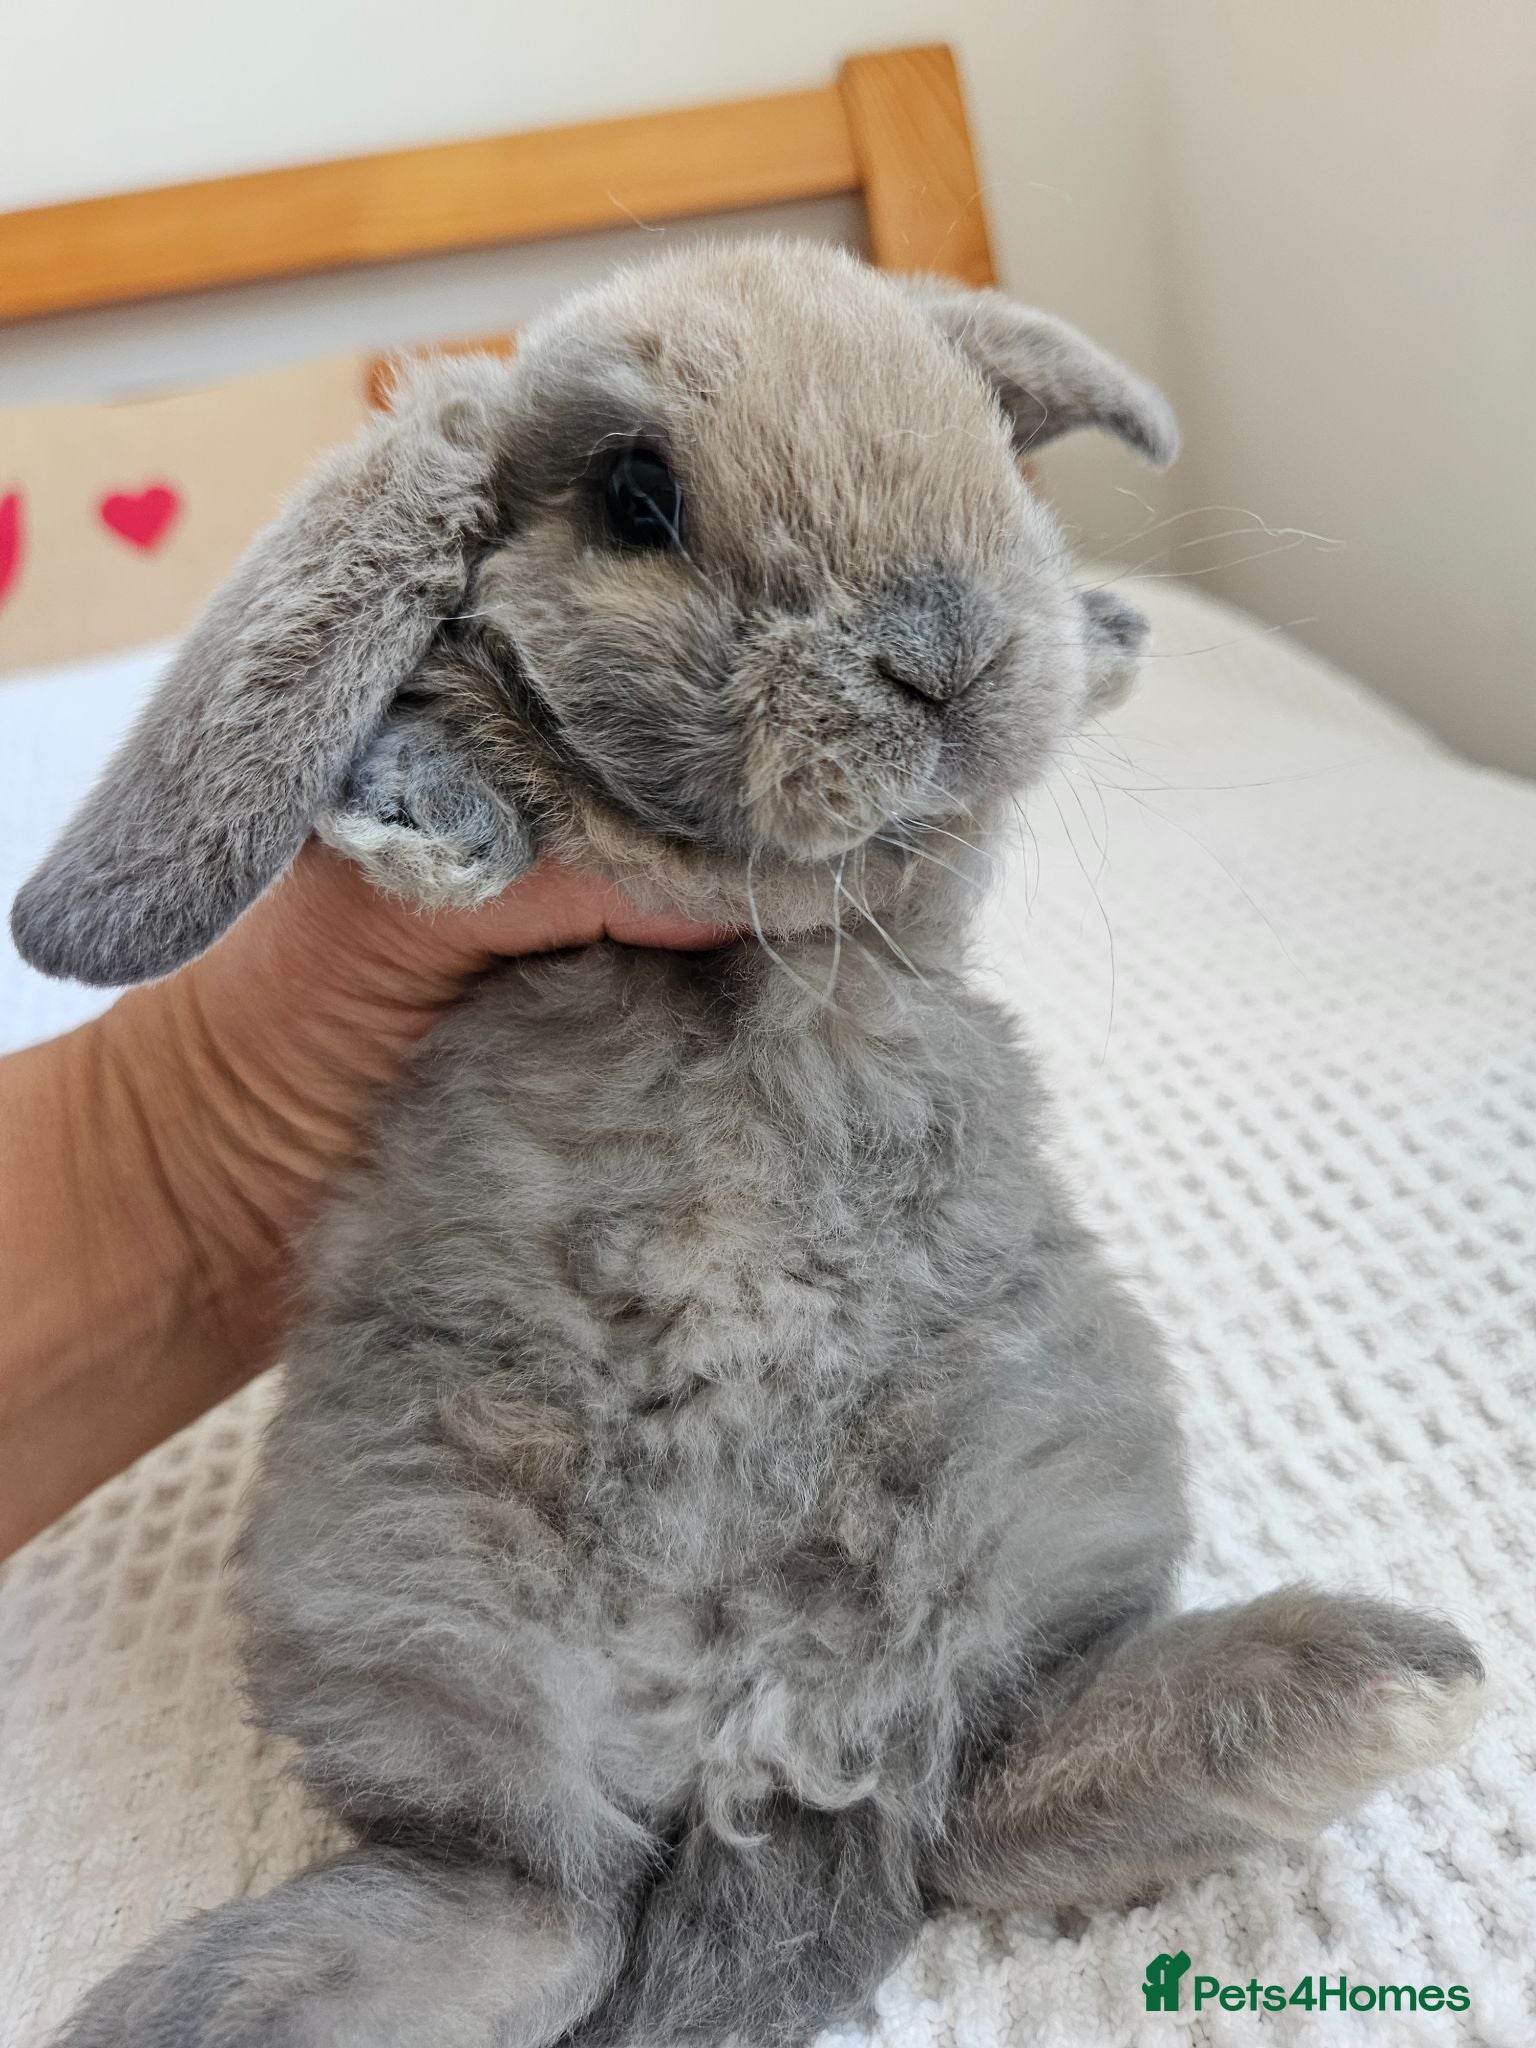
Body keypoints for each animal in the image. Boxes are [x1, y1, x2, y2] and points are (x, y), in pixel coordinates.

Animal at [13, 239, 1484, 2048]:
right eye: (636, 495)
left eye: (988, 442)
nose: (942, 654)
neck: (748, 909)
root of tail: (744, 1742)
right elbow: (470, 723)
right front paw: (424, 812)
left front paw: (1106, 634)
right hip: (418, 1576)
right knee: (545, 1897)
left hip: (1032, 1485)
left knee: (961, 1792)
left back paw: (1375, 1683)